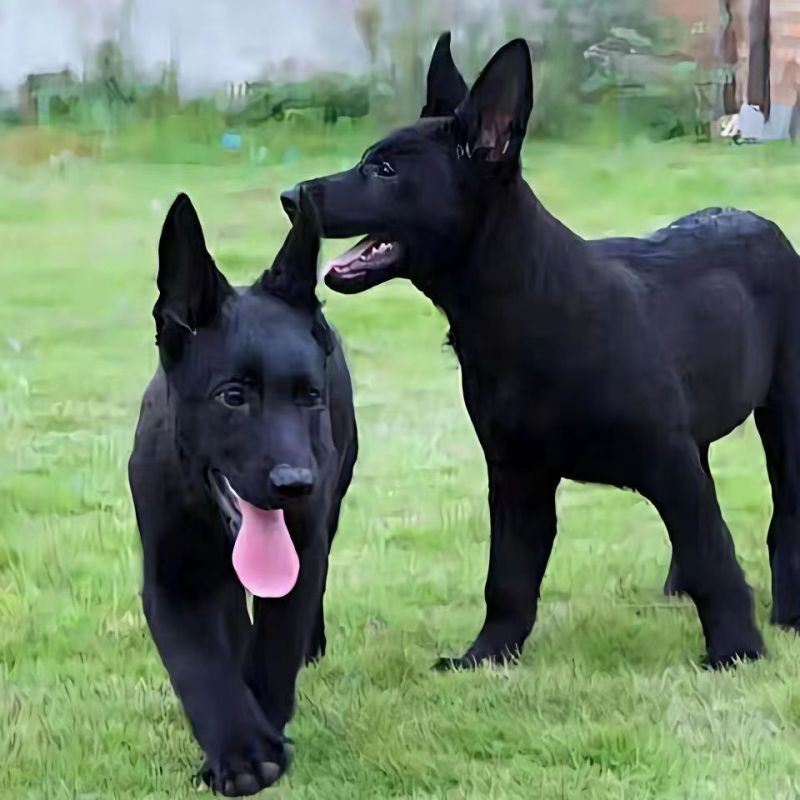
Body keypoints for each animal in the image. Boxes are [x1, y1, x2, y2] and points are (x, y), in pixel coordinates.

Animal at [127, 188, 356, 792]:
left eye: (309, 396)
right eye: (233, 396)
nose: (296, 484)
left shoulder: (302, 545)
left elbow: (277, 643)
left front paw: (260, 734)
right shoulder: (170, 576)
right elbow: (200, 663)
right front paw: (242, 754)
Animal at [282, 37, 800, 672]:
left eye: (383, 170)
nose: (291, 197)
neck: (528, 312)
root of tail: (763, 223)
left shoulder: (665, 459)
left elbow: (712, 554)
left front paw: (736, 650)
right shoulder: (516, 473)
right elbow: (508, 576)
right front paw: (486, 655)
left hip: (785, 413)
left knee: (783, 517)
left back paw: (788, 613)